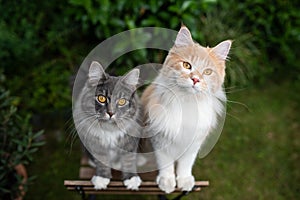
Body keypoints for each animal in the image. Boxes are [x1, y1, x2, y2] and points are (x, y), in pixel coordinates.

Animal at [73, 61, 142, 191]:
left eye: (122, 101)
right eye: (101, 98)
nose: (111, 113)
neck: (110, 128)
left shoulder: (129, 140)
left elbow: (129, 159)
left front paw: (131, 179)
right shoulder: (95, 142)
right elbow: (101, 160)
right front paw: (101, 179)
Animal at [141, 25, 232, 193]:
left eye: (207, 72)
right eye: (187, 65)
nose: (195, 79)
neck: (187, 103)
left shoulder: (193, 143)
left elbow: (186, 164)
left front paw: (184, 180)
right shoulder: (160, 139)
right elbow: (166, 163)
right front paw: (167, 181)